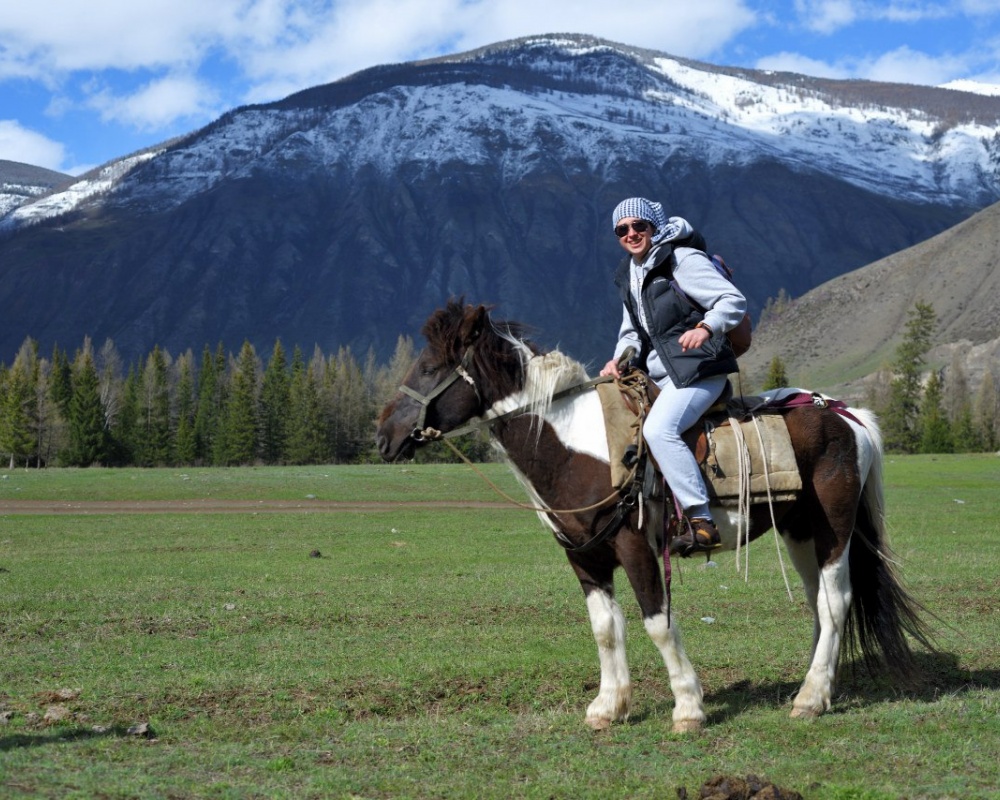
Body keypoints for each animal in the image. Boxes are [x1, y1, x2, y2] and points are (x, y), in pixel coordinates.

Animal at [374, 298, 928, 732]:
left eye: (429, 368)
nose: (384, 436)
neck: (575, 447)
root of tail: (848, 416)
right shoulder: (585, 558)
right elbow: (605, 627)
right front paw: (607, 707)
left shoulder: (635, 545)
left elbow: (657, 622)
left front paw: (688, 708)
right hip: (798, 533)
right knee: (818, 604)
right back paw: (817, 686)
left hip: (834, 529)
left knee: (835, 602)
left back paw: (810, 699)